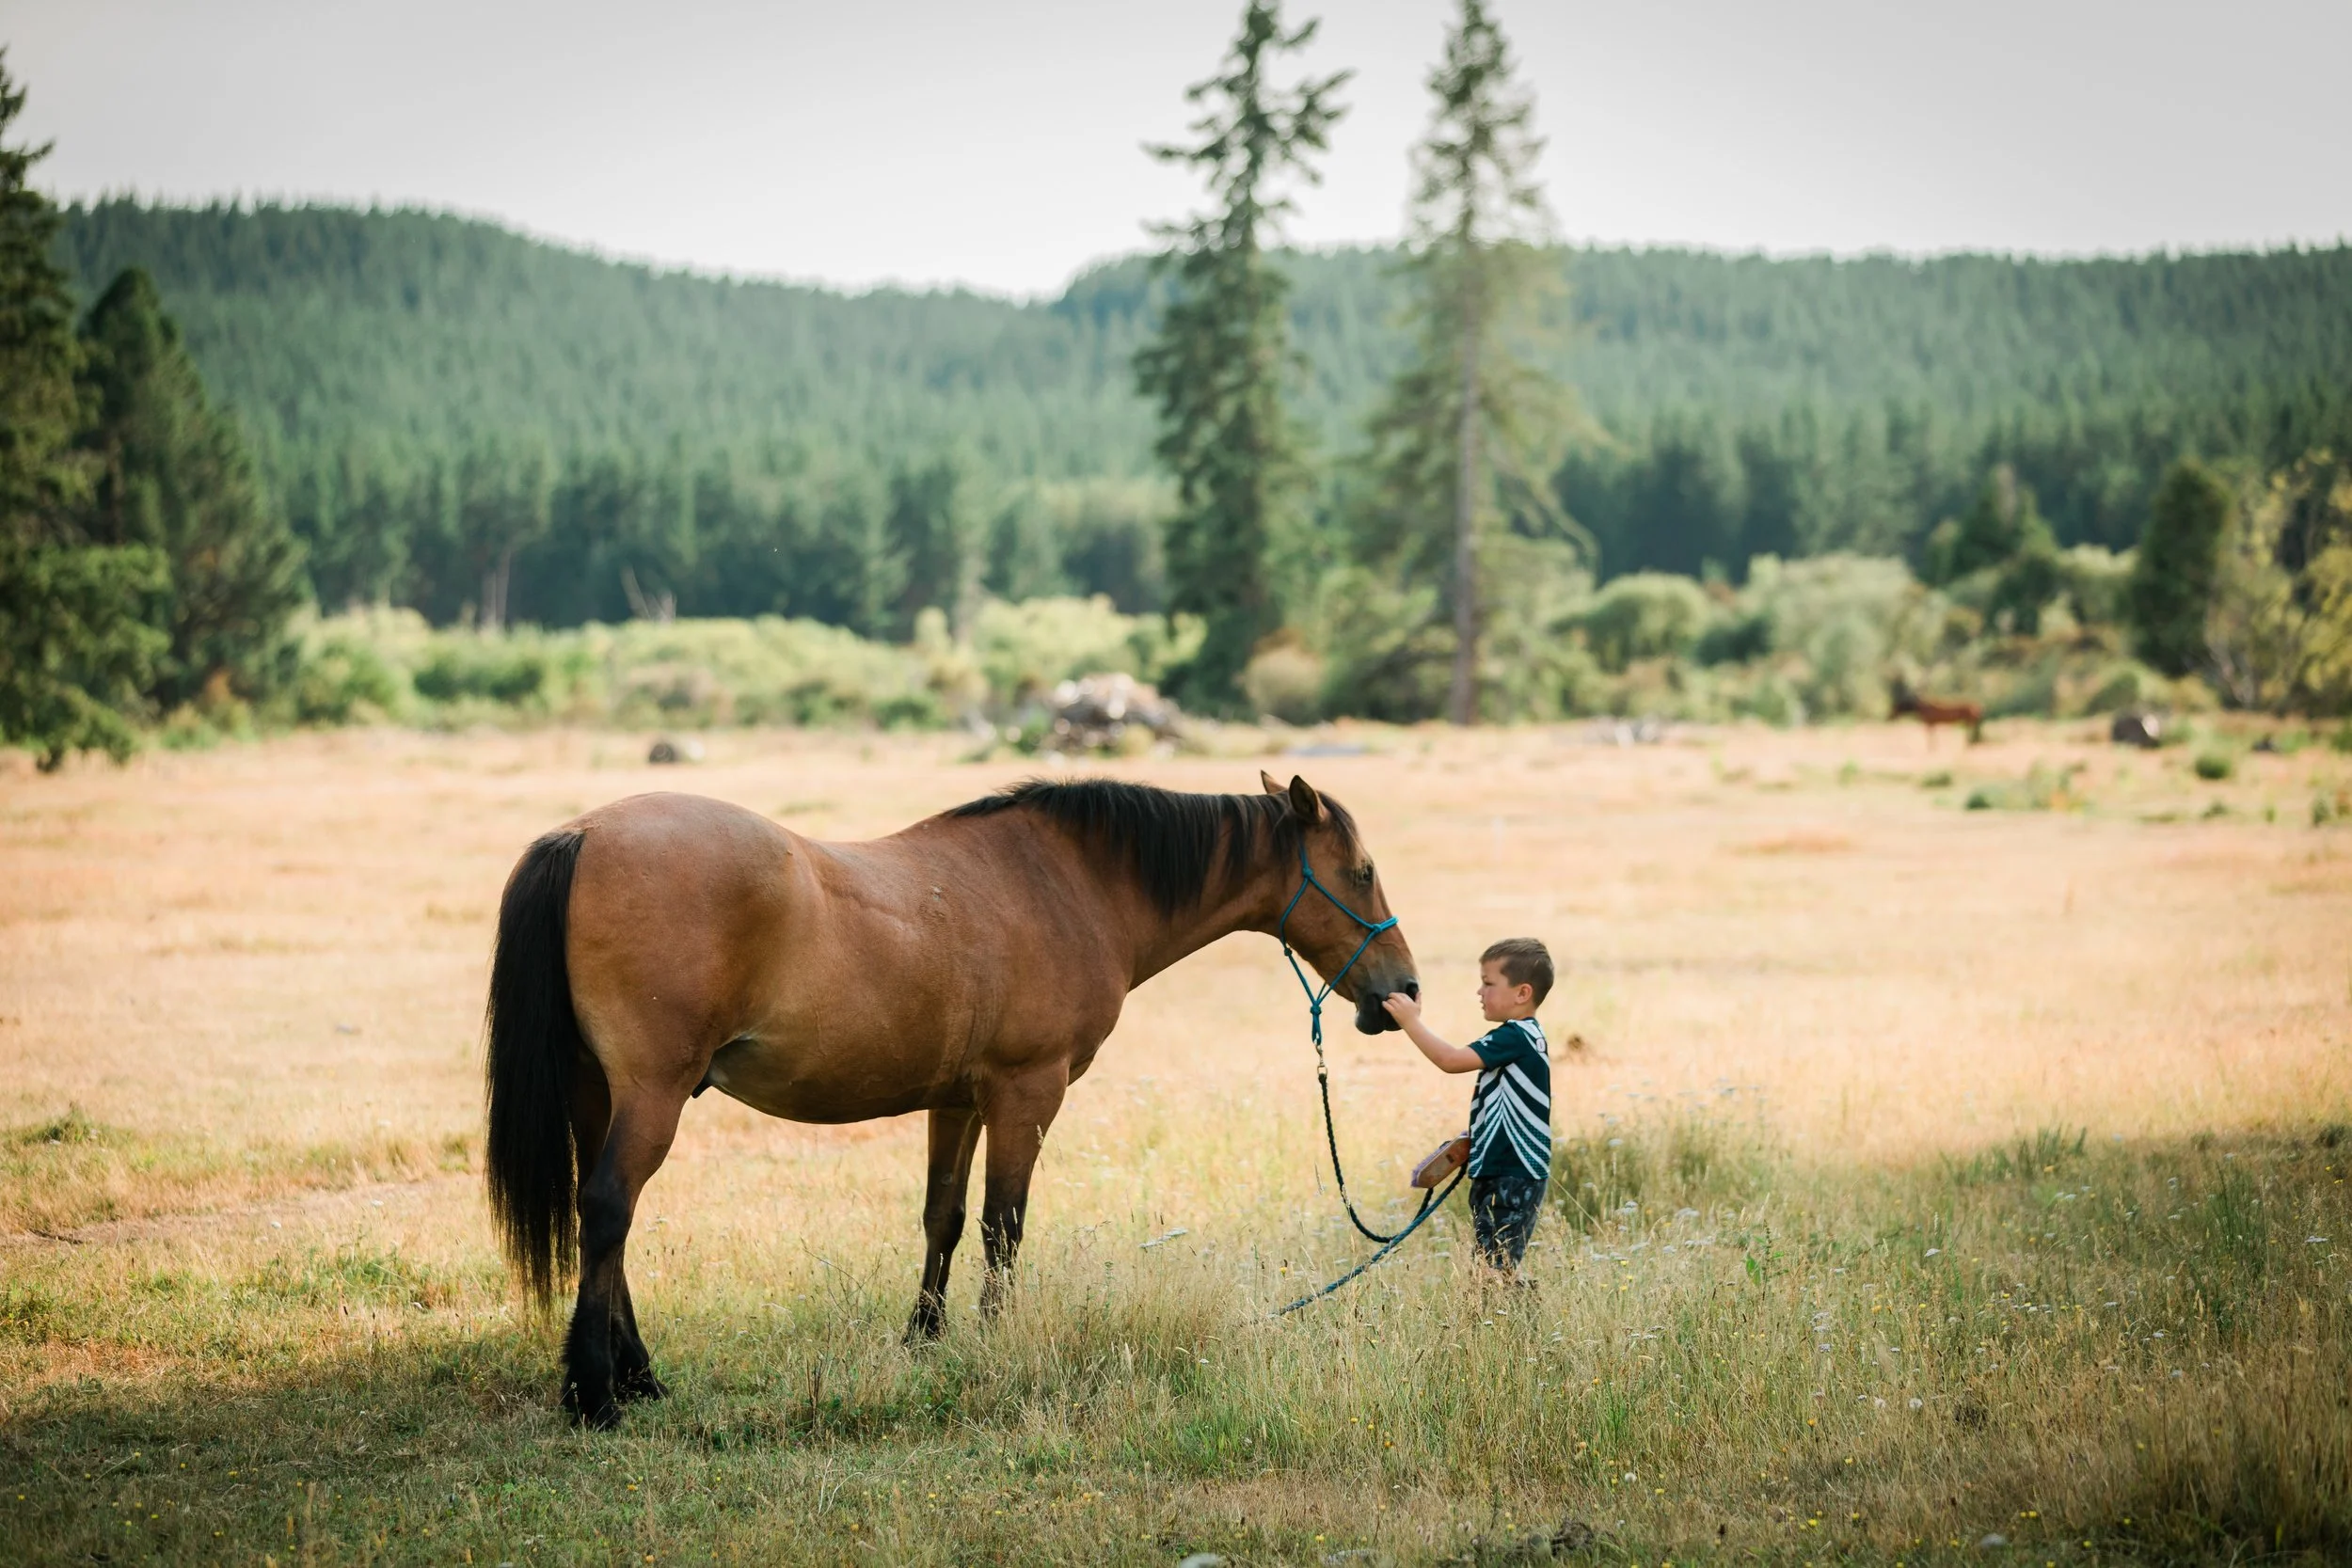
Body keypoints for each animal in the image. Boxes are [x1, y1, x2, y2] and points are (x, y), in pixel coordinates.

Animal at [482, 771, 1420, 1427]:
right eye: (1363, 871)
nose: (1403, 987)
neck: (1066, 883)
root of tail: (581, 834)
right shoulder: (1026, 1092)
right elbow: (1006, 1224)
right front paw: (997, 1341)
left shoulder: (958, 1102)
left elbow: (945, 1216)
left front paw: (924, 1338)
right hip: (652, 1095)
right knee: (610, 1209)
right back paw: (597, 1393)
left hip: (599, 1094)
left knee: (601, 1221)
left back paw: (638, 1376)